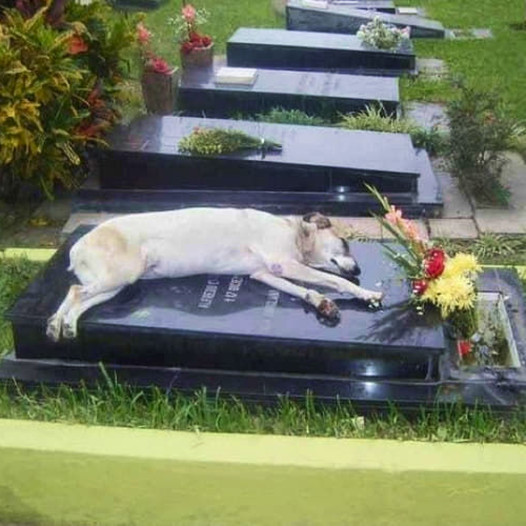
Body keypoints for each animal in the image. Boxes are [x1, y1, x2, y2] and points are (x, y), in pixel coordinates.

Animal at [46, 207, 384, 342]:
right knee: (73, 292)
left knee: (79, 299)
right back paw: (55, 324)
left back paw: (64, 325)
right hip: (119, 275)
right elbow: (334, 280)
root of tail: (76, 247)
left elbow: (306, 290)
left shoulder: (265, 274)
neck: (294, 232)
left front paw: (323, 304)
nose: (360, 270)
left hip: (114, 285)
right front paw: (366, 293)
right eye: (345, 244)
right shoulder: (281, 264)